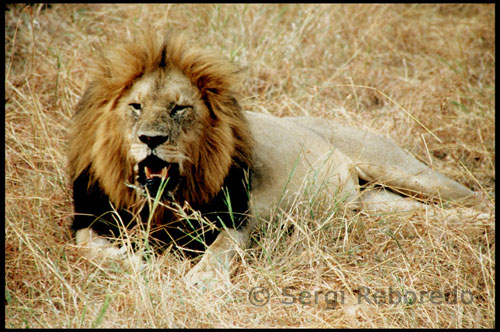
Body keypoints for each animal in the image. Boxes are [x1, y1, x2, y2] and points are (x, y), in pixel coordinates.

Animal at [69, 30, 480, 288]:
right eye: (136, 106)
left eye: (179, 108)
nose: (151, 139)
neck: (162, 203)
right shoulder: (87, 218)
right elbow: (86, 247)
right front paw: (141, 266)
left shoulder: (237, 217)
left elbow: (220, 250)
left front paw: (202, 281)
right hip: (377, 205)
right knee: (431, 214)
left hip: (408, 172)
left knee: (473, 198)